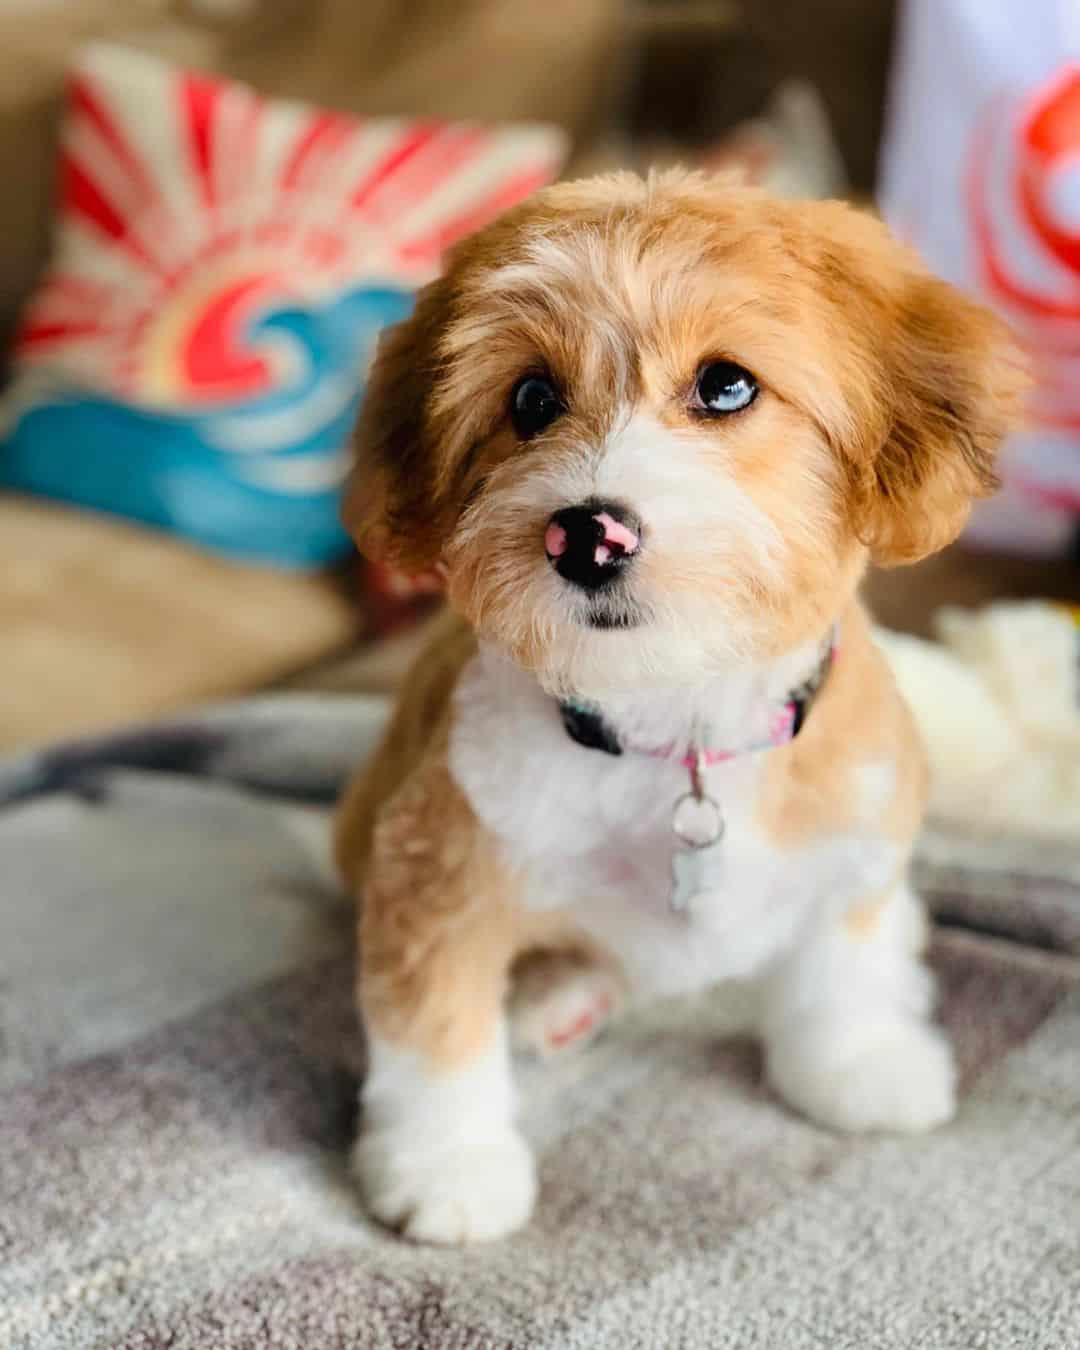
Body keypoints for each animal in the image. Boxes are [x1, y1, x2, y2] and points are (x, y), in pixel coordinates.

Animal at [333, 168, 1026, 1242]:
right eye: (530, 398)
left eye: (726, 384)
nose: (587, 535)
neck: (679, 724)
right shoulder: (434, 875)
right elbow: (435, 1029)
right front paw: (447, 1164)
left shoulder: (860, 829)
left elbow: (847, 954)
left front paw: (860, 1058)